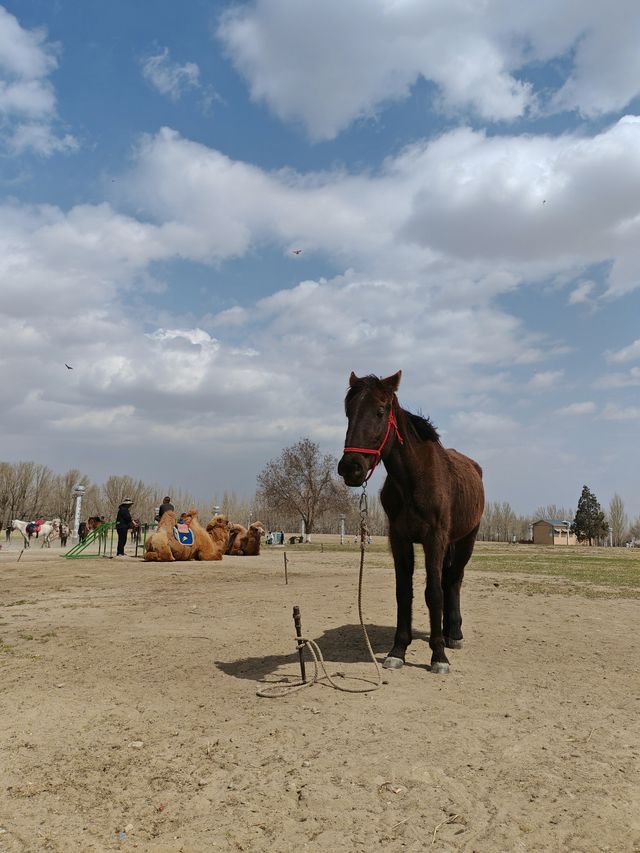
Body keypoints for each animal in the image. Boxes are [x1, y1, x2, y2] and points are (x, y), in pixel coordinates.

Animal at [338, 372, 482, 672]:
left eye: (380, 411)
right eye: (348, 412)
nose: (351, 467)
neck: (414, 480)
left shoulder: (434, 539)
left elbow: (434, 593)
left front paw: (438, 655)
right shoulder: (400, 539)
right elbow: (403, 592)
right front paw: (398, 650)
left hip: (467, 540)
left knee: (453, 581)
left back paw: (453, 634)